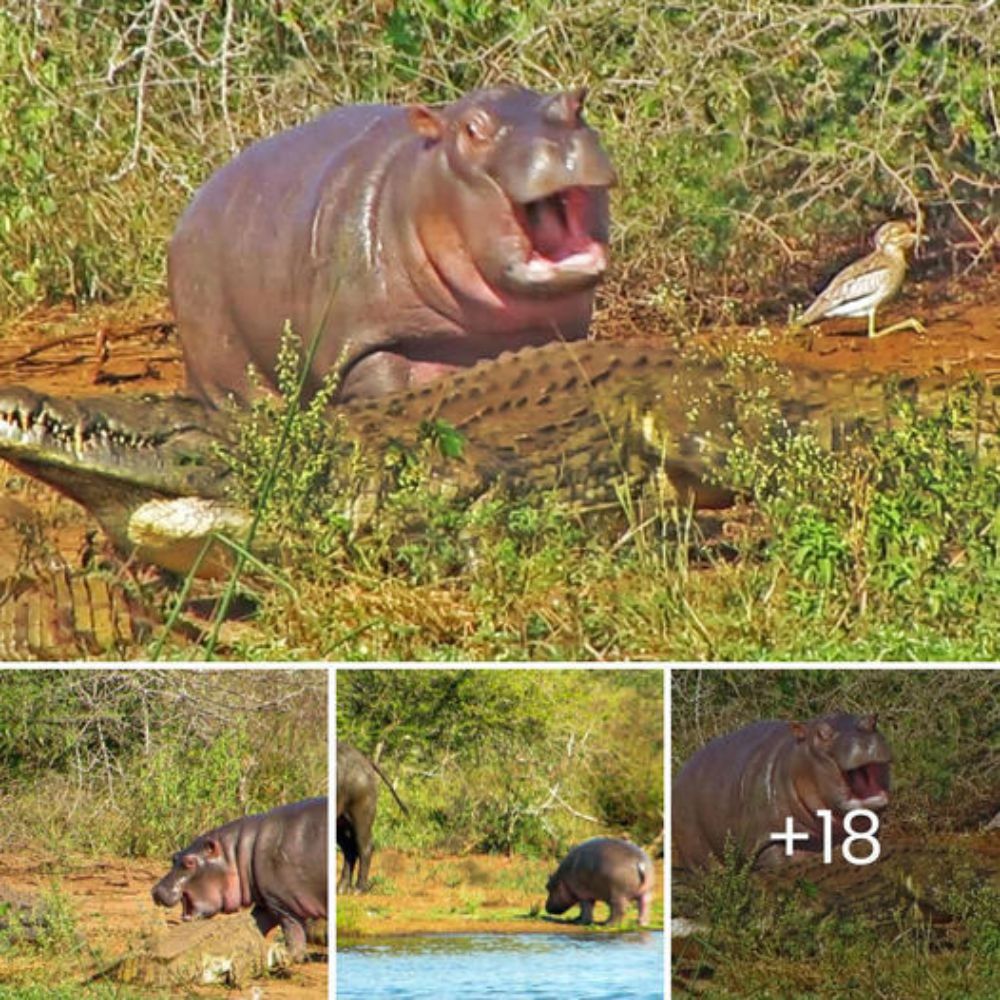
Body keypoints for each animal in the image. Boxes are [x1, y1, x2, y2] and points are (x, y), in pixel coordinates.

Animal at [150, 796, 326, 960]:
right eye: (174, 856)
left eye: (189, 862)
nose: (156, 890)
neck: (239, 854)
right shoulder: (267, 902)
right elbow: (255, 924)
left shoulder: (283, 904)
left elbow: (293, 933)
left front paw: (289, 957)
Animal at [168, 85, 612, 406]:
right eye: (472, 129)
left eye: (578, 104)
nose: (560, 144)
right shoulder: (358, 342)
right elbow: (384, 377)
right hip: (218, 362)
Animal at [338, 744, 408, 892]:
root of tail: (365, 759)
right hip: (341, 820)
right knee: (349, 848)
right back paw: (341, 888)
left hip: (361, 814)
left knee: (365, 845)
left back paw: (359, 888)